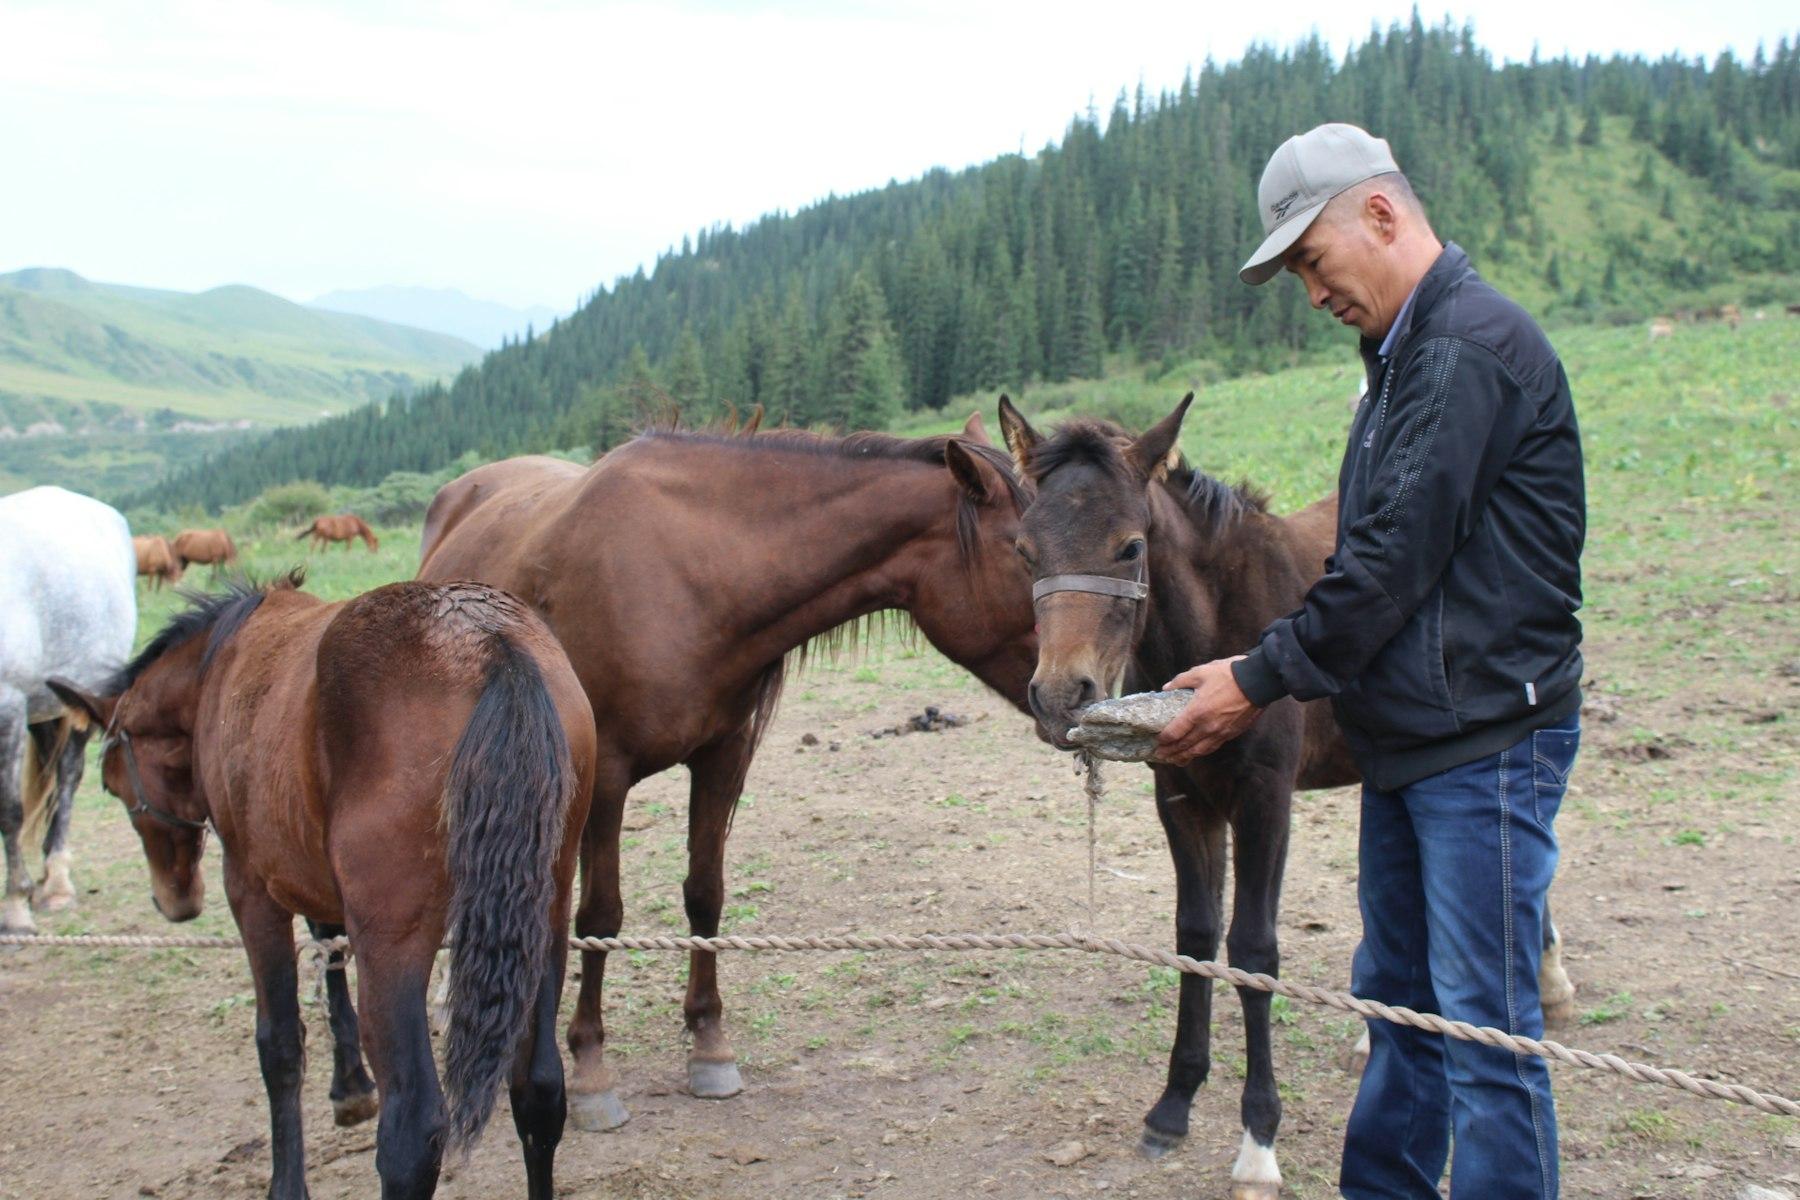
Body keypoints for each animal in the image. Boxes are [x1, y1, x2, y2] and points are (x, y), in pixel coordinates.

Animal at [49, 575, 594, 1200]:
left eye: (111, 786)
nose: (174, 899)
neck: (220, 662)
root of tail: (492, 645)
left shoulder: (253, 891)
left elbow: (280, 1044)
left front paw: (288, 1181)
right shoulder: (317, 878)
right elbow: (328, 953)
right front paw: (349, 1085)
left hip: (394, 945)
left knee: (413, 1131)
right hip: (544, 918)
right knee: (538, 1090)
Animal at [417, 415, 1044, 1137]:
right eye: (1028, 553)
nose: (1085, 686)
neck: (694, 573)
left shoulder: (723, 758)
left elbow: (706, 894)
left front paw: (709, 1045)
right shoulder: (607, 777)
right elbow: (601, 913)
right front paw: (592, 1067)